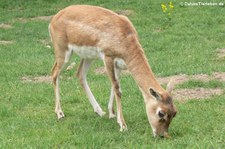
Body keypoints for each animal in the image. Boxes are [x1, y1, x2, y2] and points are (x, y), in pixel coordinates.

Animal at [49, 4, 178, 137]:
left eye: (174, 113)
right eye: (161, 113)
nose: (162, 135)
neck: (124, 35)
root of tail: (55, 18)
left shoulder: (119, 65)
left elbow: (114, 87)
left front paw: (112, 114)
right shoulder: (108, 58)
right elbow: (117, 89)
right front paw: (123, 125)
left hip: (88, 57)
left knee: (80, 74)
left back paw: (99, 111)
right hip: (63, 54)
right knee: (54, 74)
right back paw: (60, 114)